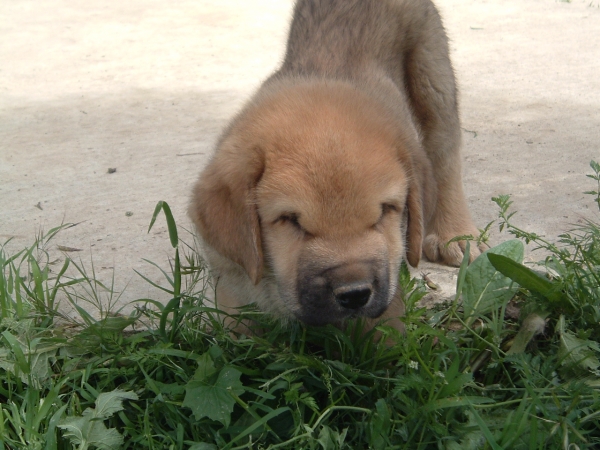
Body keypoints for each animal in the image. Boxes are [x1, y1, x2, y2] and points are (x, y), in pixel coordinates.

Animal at [190, 0, 486, 330]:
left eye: (385, 211)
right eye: (290, 220)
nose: (355, 293)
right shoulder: (231, 286)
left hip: (432, 80)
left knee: (446, 160)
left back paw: (456, 236)